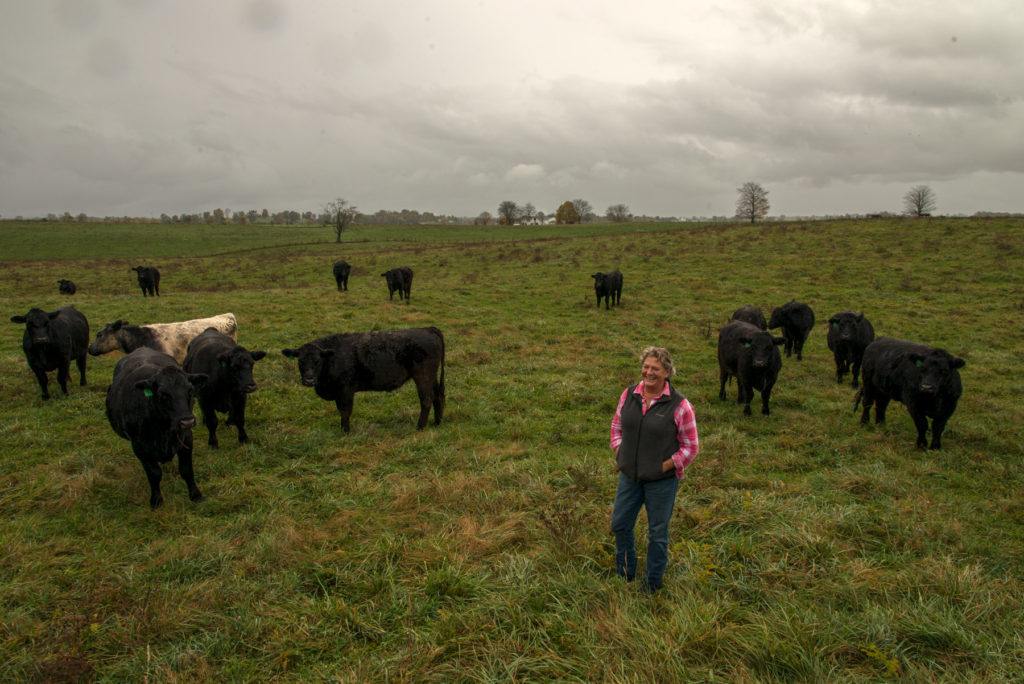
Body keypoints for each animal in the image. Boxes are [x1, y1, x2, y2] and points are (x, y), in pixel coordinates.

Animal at [104, 348, 206, 507]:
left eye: (190, 391)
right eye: (163, 395)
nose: (187, 421)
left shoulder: (187, 438)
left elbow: (186, 469)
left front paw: (195, 495)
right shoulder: (139, 447)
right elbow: (154, 473)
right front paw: (156, 500)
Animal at [280, 327, 444, 432]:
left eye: (317, 361)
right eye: (300, 361)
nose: (309, 380)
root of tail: (428, 328)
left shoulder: (345, 390)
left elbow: (345, 411)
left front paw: (345, 431)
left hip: (423, 376)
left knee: (426, 399)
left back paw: (420, 427)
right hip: (432, 377)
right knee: (438, 396)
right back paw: (437, 422)